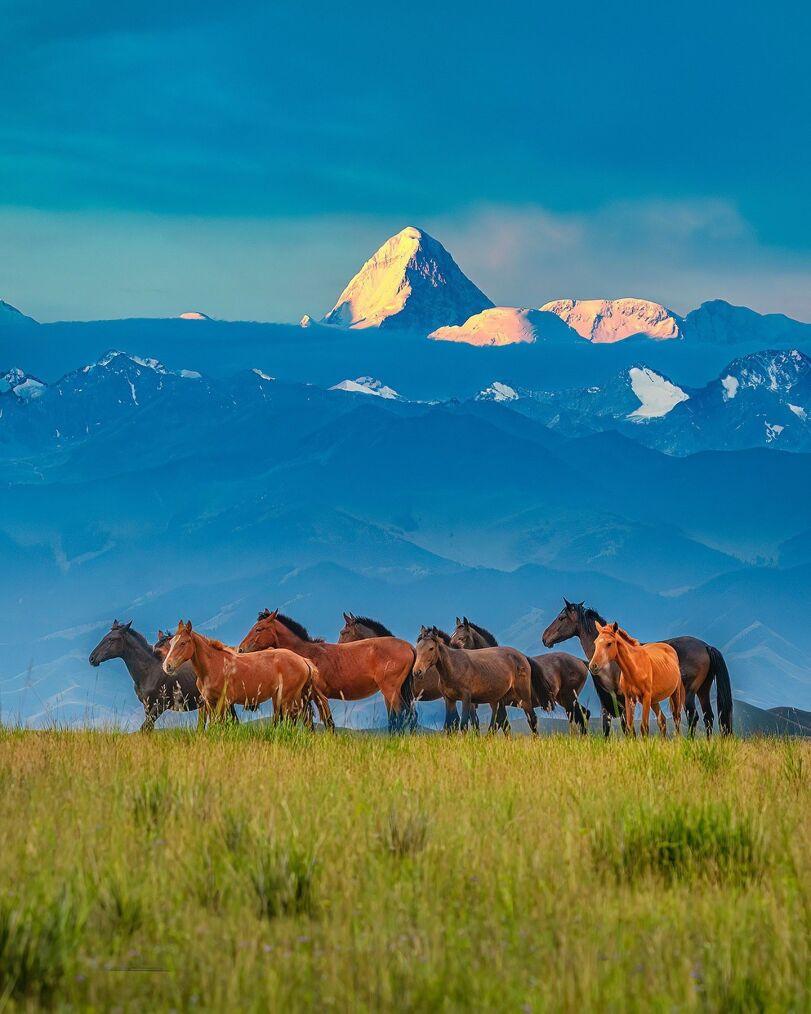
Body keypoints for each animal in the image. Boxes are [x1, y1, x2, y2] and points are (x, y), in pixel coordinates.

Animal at [163, 616, 330, 730]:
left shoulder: (223, 702)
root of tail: (303, 660)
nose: (167, 666)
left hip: (286, 698)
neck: (214, 666)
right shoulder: (210, 702)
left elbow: (220, 724)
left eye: (183, 643)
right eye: (171, 643)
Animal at [237, 604, 415, 734]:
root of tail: (410, 647)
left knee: (401, 714)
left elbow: (327, 722)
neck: (306, 656)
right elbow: (308, 723)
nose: (241, 649)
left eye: (259, 629)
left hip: (390, 691)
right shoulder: (304, 698)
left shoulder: (316, 696)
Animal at [450, 612, 587, 734]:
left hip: (568, 699)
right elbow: (503, 726)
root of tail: (580, 661)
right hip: (565, 700)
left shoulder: (499, 704)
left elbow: (497, 726)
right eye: (451, 638)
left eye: (462, 638)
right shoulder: (498, 705)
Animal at [543, 600, 729, 738]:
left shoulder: (622, 696)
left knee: (693, 716)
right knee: (708, 717)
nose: (545, 637)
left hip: (688, 692)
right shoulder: (608, 699)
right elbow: (608, 726)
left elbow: (626, 725)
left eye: (561, 618)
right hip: (703, 690)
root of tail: (705, 646)